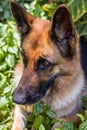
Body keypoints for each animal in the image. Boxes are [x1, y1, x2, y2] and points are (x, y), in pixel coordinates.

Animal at [10, 0, 86, 130]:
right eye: (24, 58)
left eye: (45, 63)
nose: (16, 99)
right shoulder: (19, 110)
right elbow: (17, 124)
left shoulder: (74, 117)